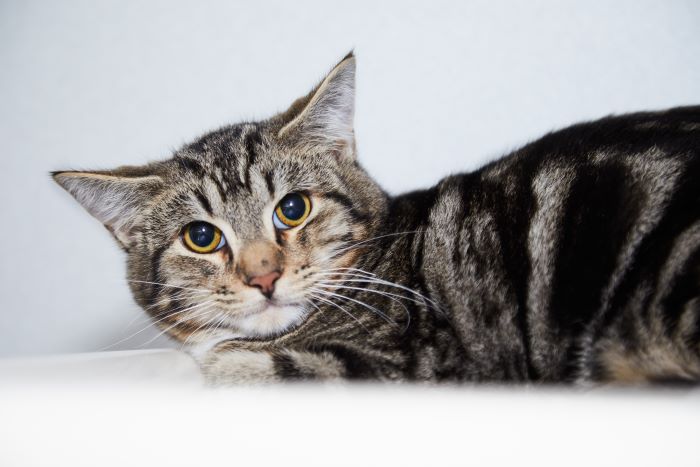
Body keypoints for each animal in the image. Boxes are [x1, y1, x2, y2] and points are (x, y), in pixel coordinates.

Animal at [53, 53, 700, 386]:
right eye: (202, 237)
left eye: (293, 208)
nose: (263, 276)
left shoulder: (422, 361)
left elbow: (257, 364)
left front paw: (227, 359)